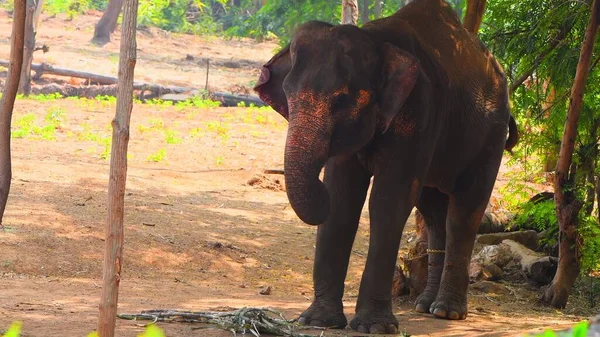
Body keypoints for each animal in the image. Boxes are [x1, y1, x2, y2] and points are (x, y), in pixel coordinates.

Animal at [252, 0, 516, 332]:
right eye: (287, 93)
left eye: (343, 99)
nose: (317, 188)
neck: (375, 40)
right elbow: (343, 198)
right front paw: (317, 321)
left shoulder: (418, 110)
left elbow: (389, 199)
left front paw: (373, 327)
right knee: (433, 211)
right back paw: (425, 306)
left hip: (491, 134)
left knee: (464, 212)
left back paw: (447, 312)